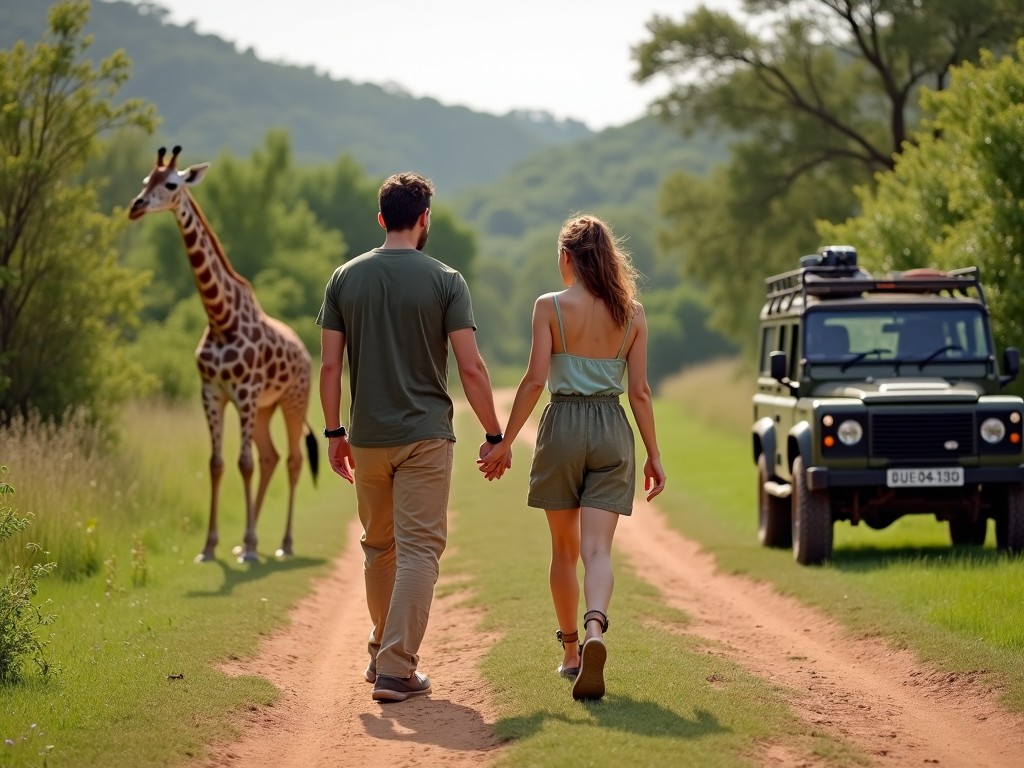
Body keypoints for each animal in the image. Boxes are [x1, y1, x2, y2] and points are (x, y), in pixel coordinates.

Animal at [130, 145, 317, 565]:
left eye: (171, 184)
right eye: (145, 180)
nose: (136, 206)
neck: (220, 318)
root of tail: (305, 352)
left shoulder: (244, 393)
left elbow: (242, 463)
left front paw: (247, 547)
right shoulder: (212, 393)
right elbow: (216, 464)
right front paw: (212, 547)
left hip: (292, 400)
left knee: (292, 460)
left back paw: (283, 543)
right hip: (265, 407)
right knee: (271, 457)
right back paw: (252, 541)